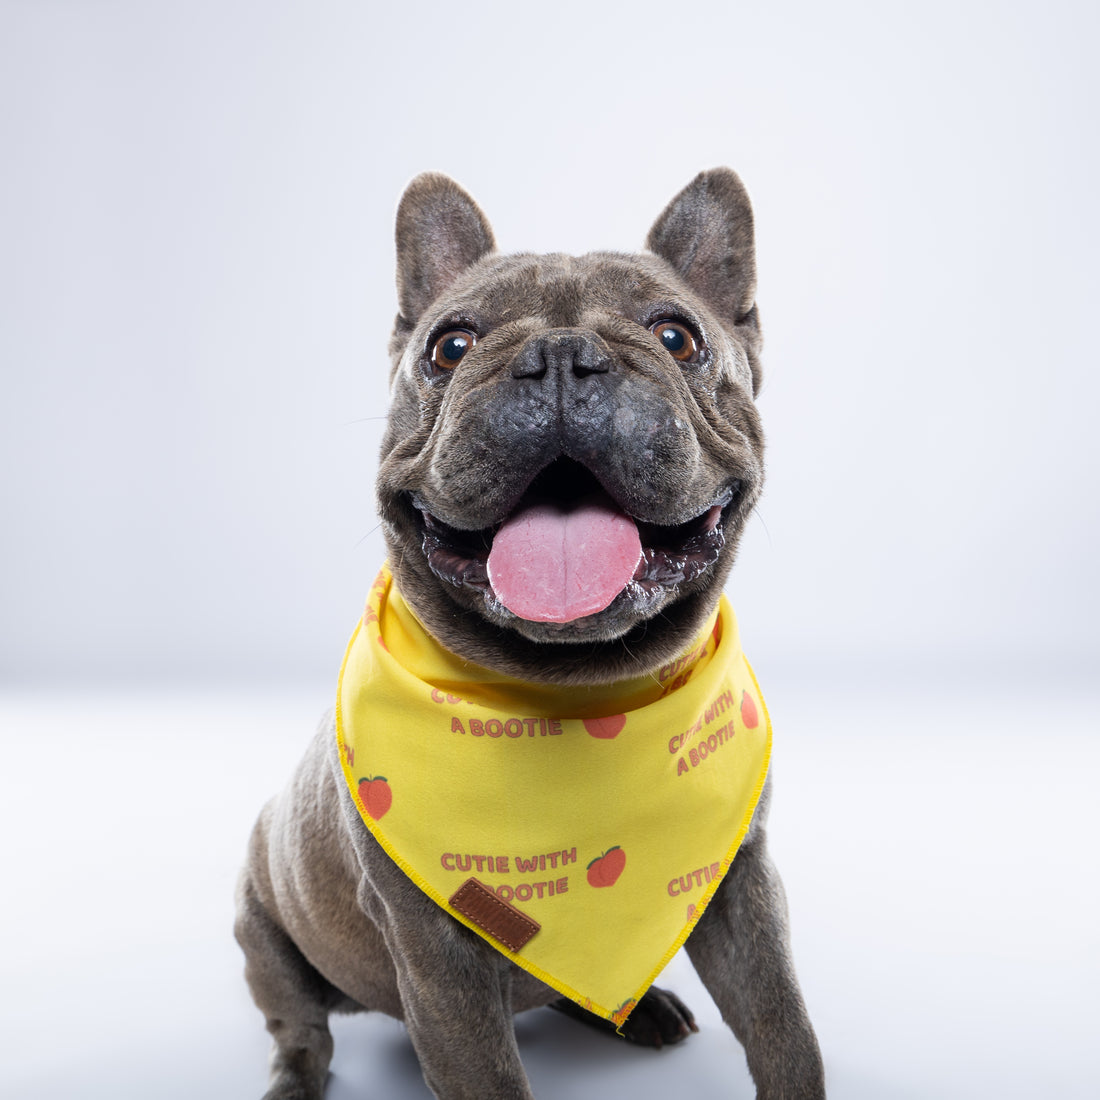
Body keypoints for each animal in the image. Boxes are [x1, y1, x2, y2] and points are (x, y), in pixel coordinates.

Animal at [238, 167, 827, 1095]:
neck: (578, 694)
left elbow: (783, 1028)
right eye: (449, 346)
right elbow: (485, 1073)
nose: (557, 356)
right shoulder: (438, 959)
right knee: (300, 1027)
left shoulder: (741, 886)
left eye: (677, 337)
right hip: (261, 922)